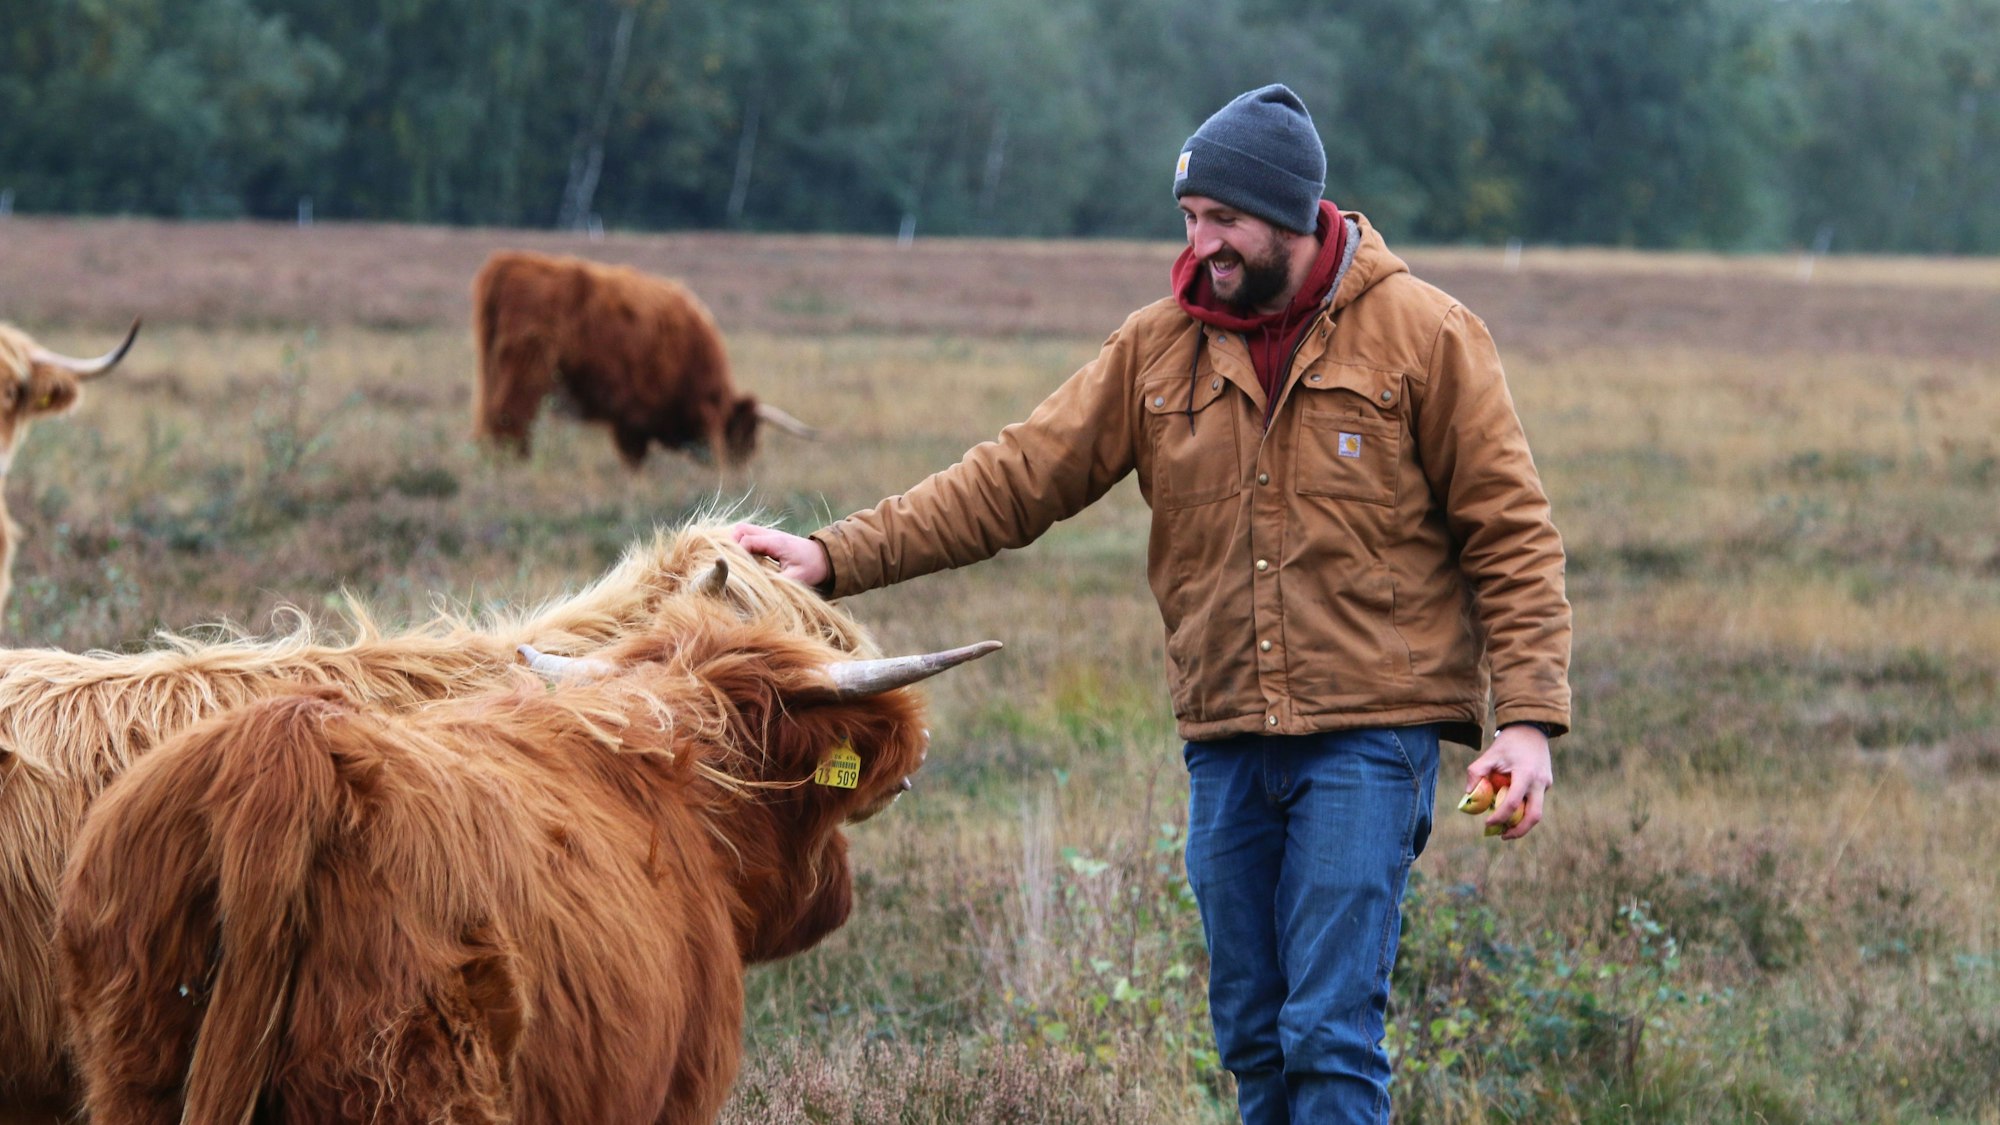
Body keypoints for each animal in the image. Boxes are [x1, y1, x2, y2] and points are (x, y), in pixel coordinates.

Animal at [471, 250, 814, 469]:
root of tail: (512, 262)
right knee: (510, 416)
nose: (740, 466)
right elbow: (634, 455)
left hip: (492, 369)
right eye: (745, 433)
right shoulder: (634, 415)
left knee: (490, 416)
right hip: (527, 369)